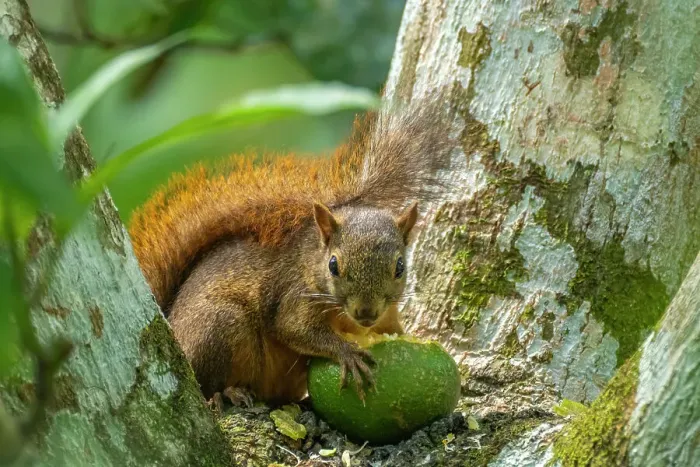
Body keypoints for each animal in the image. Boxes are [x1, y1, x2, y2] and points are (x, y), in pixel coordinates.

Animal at [128, 97, 453, 406]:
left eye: (400, 267)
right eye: (333, 265)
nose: (366, 313)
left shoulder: (389, 317)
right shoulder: (294, 295)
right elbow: (293, 328)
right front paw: (347, 352)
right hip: (220, 326)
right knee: (207, 383)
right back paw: (225, 394)